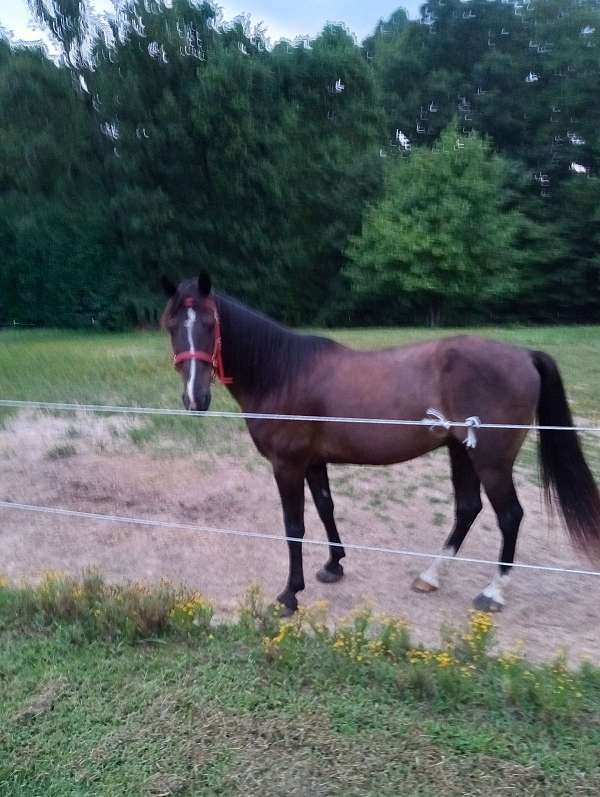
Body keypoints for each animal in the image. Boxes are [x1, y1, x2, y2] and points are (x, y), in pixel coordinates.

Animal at [159, 274, 600, 616]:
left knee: (509, 515)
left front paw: (289, 595)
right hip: (461, 451)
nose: (195, 398)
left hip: (491, 461)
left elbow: (294, 527)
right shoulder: (313, 462)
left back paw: (493, 592)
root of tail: (524, 354)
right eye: (171, 326)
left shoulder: (287, 465)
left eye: (211, 323)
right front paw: (333, 565)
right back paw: (431, 576)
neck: (283, 372)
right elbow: (326, 508)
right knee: (467, 509)